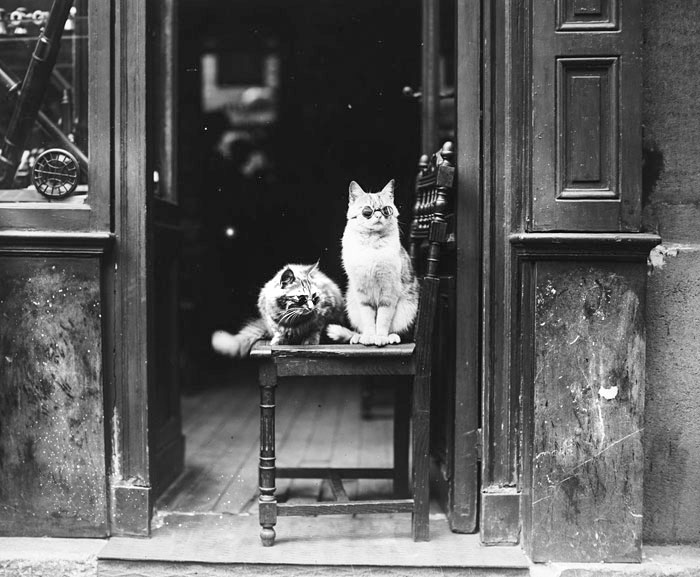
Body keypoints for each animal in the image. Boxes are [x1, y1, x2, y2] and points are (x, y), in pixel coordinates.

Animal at [213, 262, 344, 356]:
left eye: (314, 296)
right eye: (302, 298)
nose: (312, 308)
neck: (294, 320)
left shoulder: (325, 312)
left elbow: (315, 329)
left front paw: (310, 340)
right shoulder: (271, 317)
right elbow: (278, 330)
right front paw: (279, 340)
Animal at [326, 178, 418, 344]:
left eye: (387, 209)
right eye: (367, 211)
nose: (379, 215)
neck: (371, 245)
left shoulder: (388, 290)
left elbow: (383, 318)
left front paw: (380, 337)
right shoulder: (362, 292)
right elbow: (368, 319)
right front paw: (369, 336)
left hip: (406, 311)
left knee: (398, 331)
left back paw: (391, 337)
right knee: (359, 329)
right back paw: (358, 337)